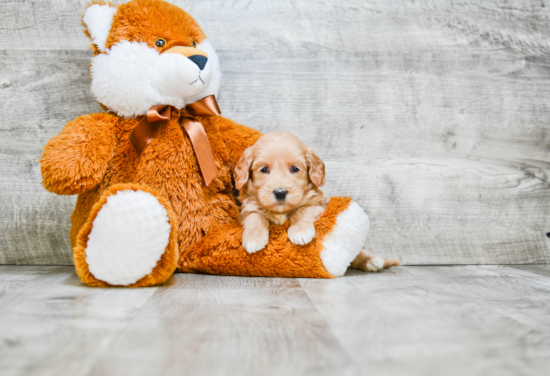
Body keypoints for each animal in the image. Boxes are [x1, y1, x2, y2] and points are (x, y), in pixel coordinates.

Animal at [235, 133, 394, 274]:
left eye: (294, 168)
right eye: (264, 169)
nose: (280, 192)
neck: (281, 211)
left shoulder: (318, 204)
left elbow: (302, 210)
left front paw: (300, 231)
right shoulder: (247, 208)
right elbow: (255, 216)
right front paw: (253, 238)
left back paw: (372, 260)